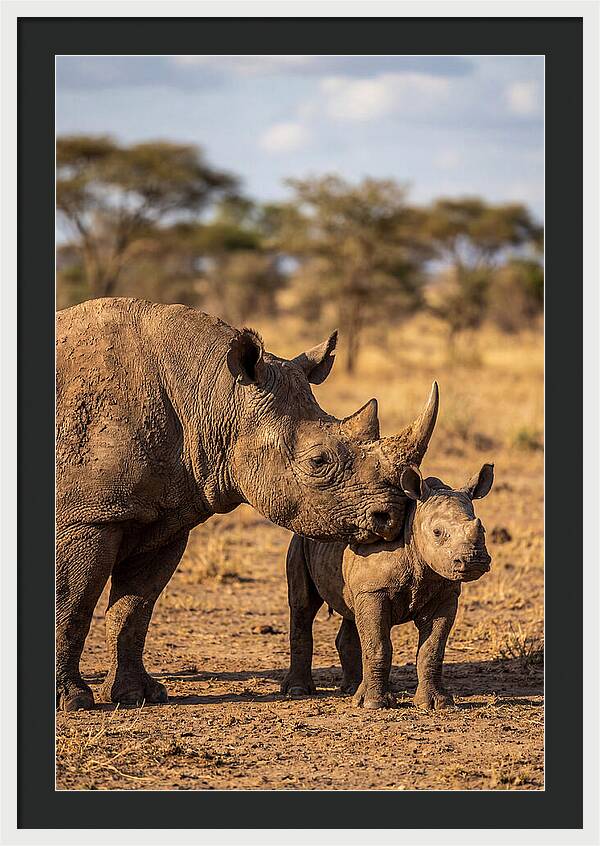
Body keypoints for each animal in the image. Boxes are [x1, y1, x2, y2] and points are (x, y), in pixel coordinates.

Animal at [56, 297, 420, 711]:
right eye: (318, 461)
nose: (392, 516)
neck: (214, 396)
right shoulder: (90, 516)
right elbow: (73, 602)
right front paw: (73, 701)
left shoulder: (165, 518)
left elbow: (134, 609)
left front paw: (136, 696)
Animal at [281, 461, 494, 710]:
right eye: (437, 532)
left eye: (483, 529)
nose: (474, 560)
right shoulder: (375, 590)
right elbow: (378, 645)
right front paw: (374, 704)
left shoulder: (445, 594)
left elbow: (432, 649)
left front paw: (436, 703)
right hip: (300, 540)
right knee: (303, 606)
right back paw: (298, 690)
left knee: (351, 612)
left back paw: (352, 689)